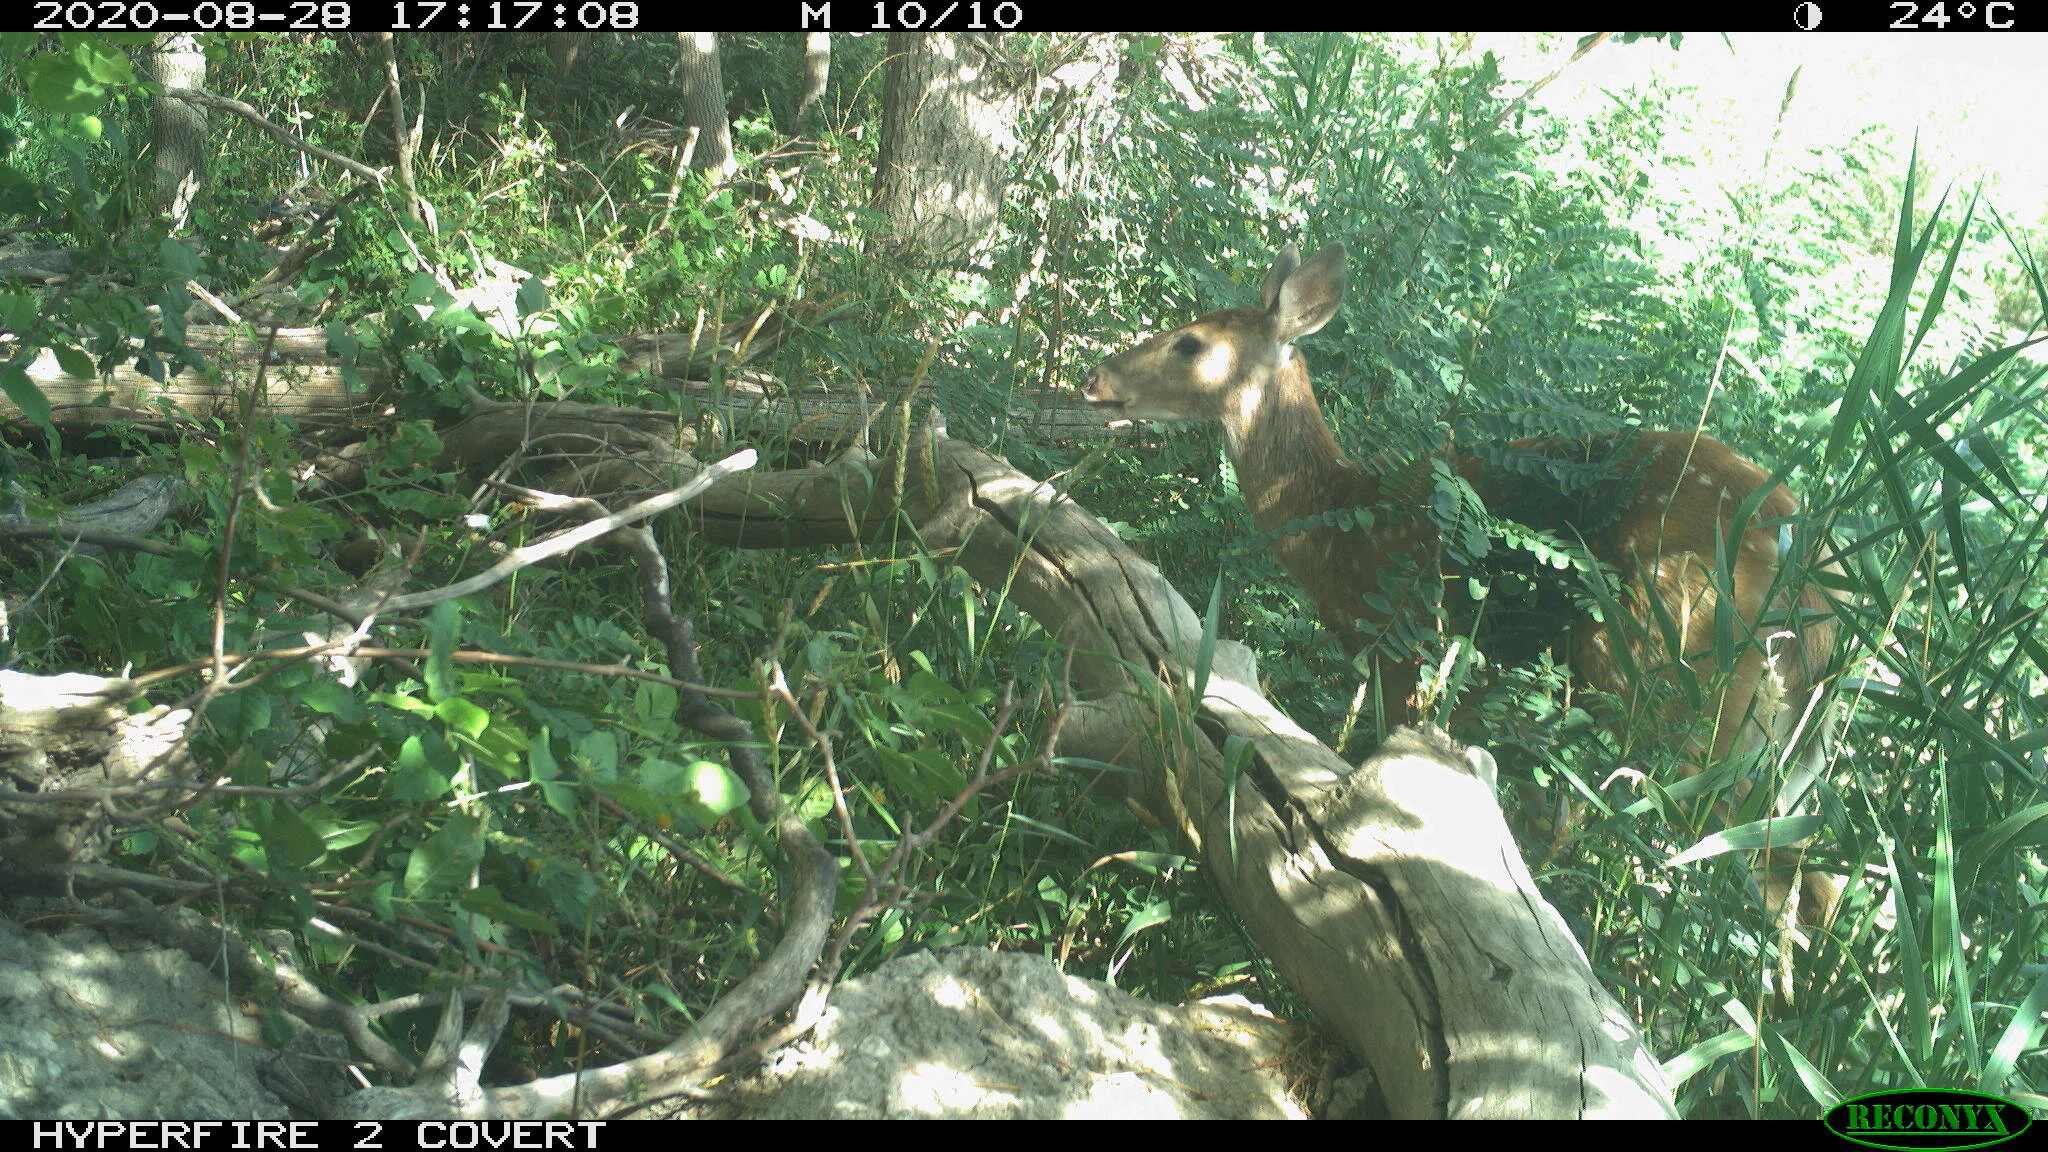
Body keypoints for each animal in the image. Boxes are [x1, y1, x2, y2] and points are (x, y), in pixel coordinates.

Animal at [1080, 242, 1843, 934]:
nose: (1095, 378)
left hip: (1677, 674)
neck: (1340, 519)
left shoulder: (1405, 648)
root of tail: (1816, 587)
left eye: (1191, 343)